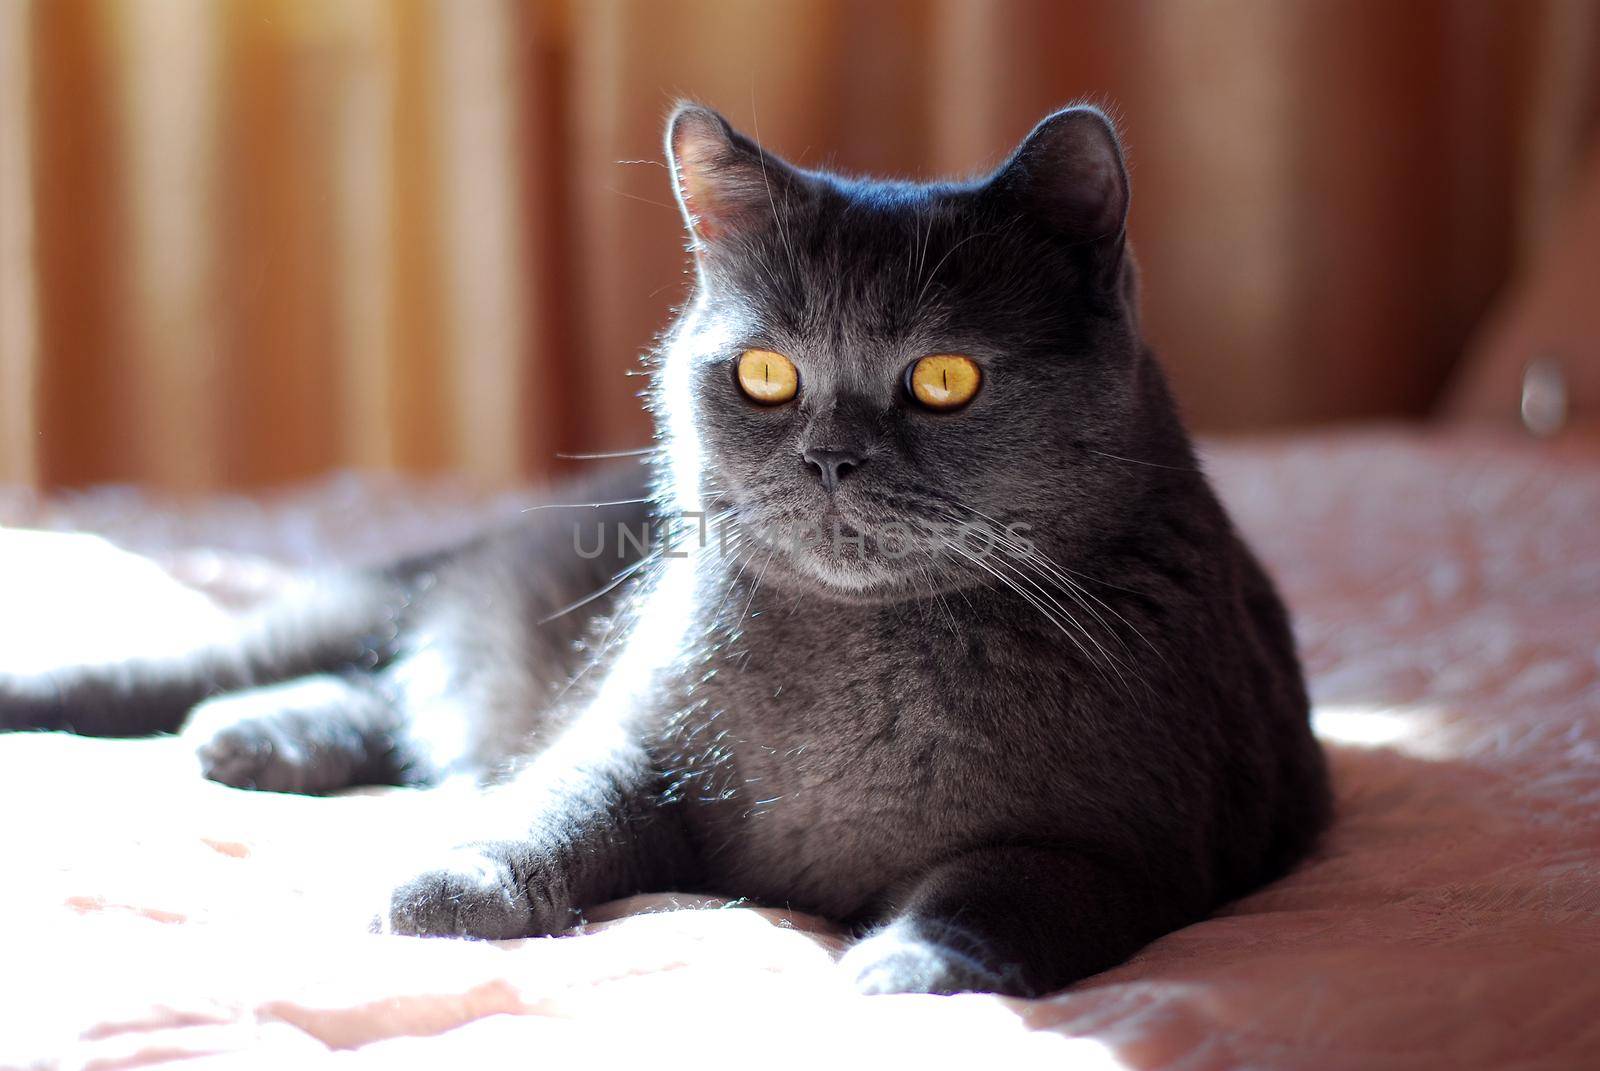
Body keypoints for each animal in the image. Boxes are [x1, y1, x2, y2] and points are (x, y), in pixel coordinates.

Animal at [0, 106, 1324, 992]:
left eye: (945, 378)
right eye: (766, 374)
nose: (829, 459)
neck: (866, 668)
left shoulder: (1129, 849)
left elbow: (1002, 894)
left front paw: (904, 971)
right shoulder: (635, 740)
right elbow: (552, 802)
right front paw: (444, 891)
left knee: (406, 709)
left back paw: (258, 740)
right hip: (404, 602)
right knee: (273, 674)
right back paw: (219, 724)